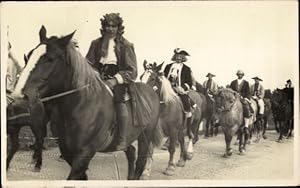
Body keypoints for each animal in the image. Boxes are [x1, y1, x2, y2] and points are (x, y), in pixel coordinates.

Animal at [11, 25, 163, 180]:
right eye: (30, 55)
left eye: (50, 59)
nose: (19, 96)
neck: (81, 106)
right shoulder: (67, 151)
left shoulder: (85, 152)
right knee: (131, 152)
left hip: (145, 136)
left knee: (140, 162)